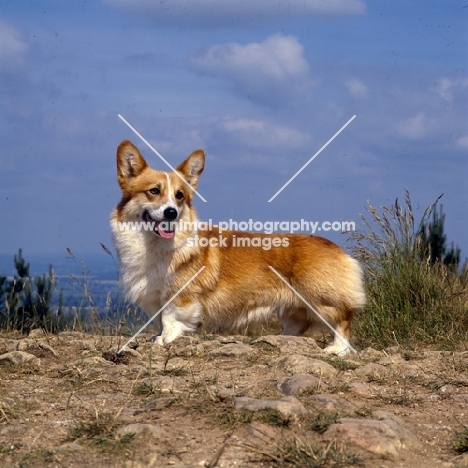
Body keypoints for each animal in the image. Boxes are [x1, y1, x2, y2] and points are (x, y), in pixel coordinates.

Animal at [109, 139, 366, 354]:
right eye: (154, 191)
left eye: (180, 196)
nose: (171, 212)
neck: (153, 244)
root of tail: (338, 249)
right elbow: (161, 321)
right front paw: (157, 337)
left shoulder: (181, 295)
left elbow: (171, 319)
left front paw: (164, 340)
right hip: (294, 308)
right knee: (299, 326)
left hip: (322, 300)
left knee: (342, 322)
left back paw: (336, 349)